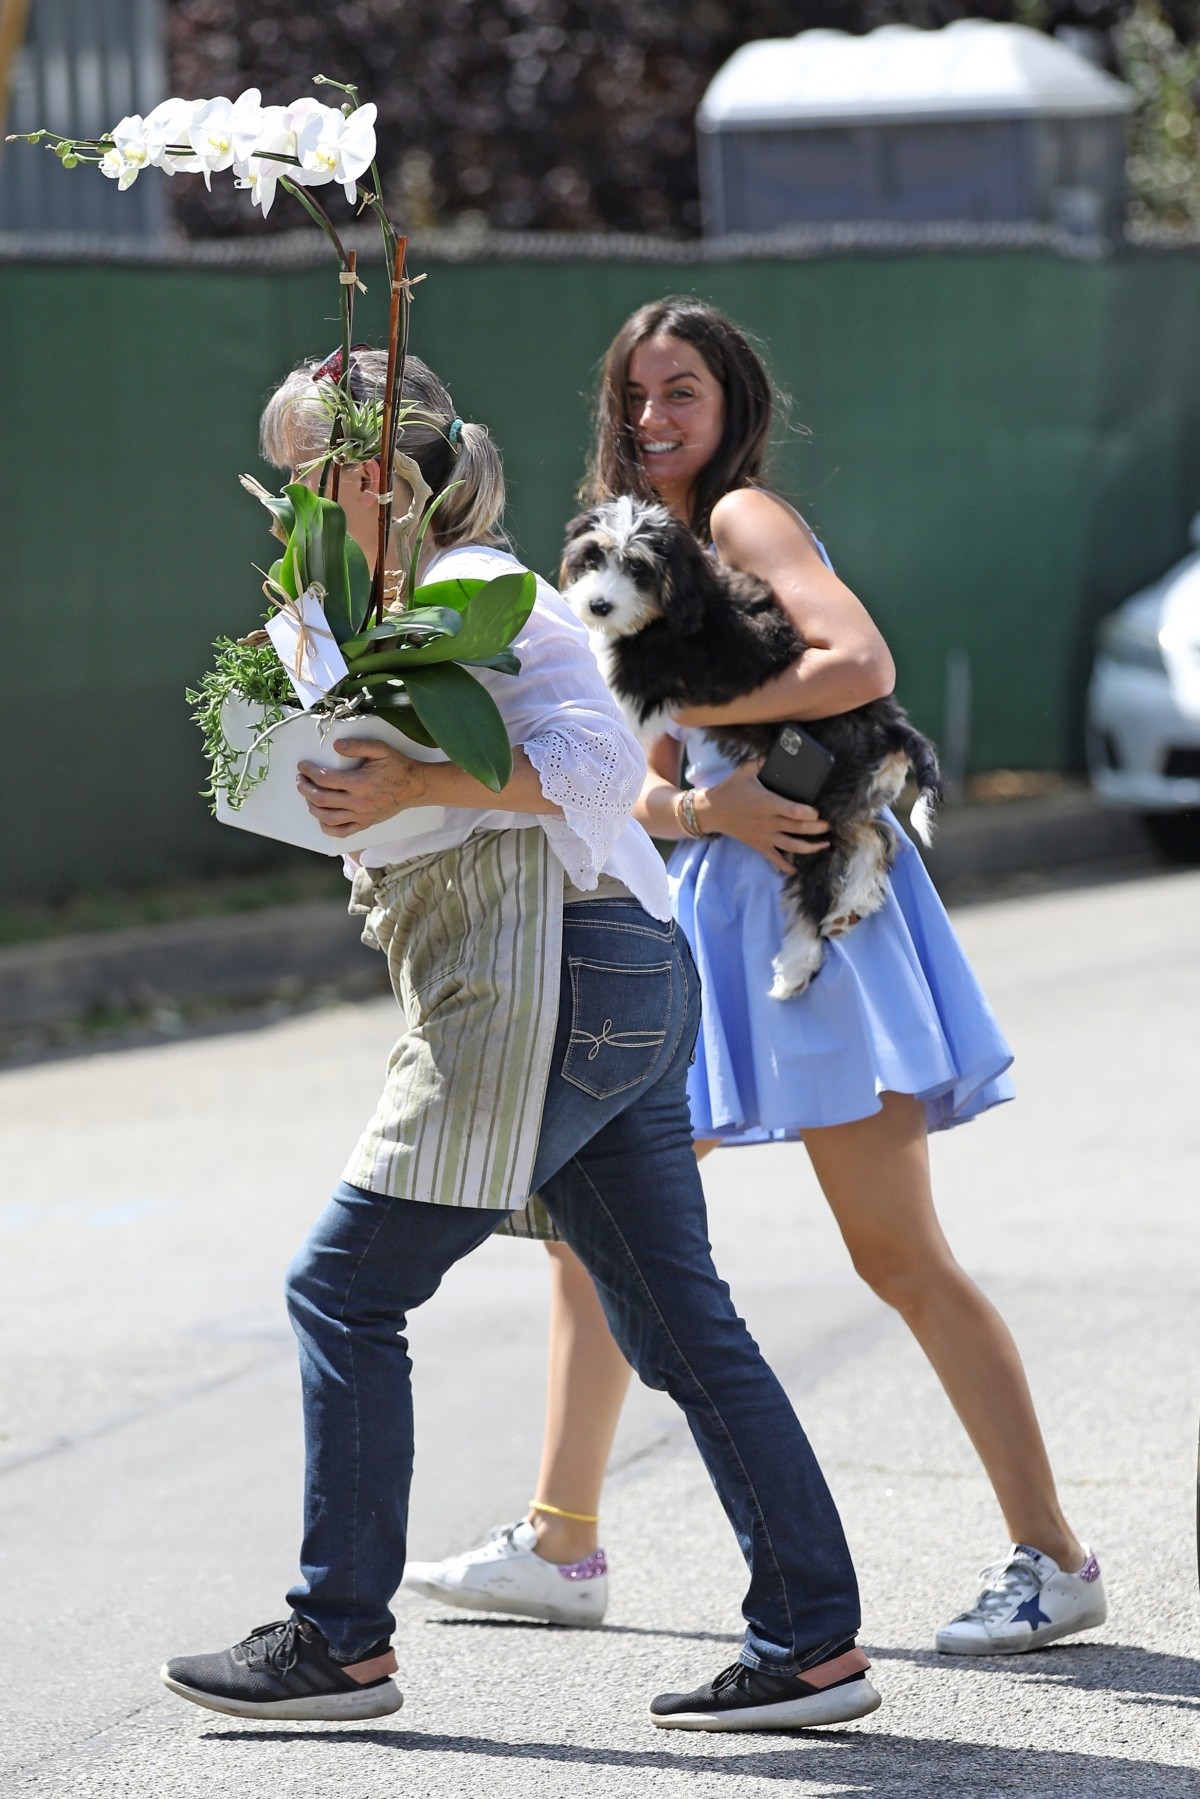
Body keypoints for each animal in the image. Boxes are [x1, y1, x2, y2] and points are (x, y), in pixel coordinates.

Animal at [564, 492, 949, 1000]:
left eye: (639, 569)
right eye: (594, 557)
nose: (599, 605)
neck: (672, 607)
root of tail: (893, 726)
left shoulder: (637, 684)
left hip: (813, 816)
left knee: (820, 882)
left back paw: (797, 965)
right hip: (843, 799)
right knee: (876, 838)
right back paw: (854, 902)